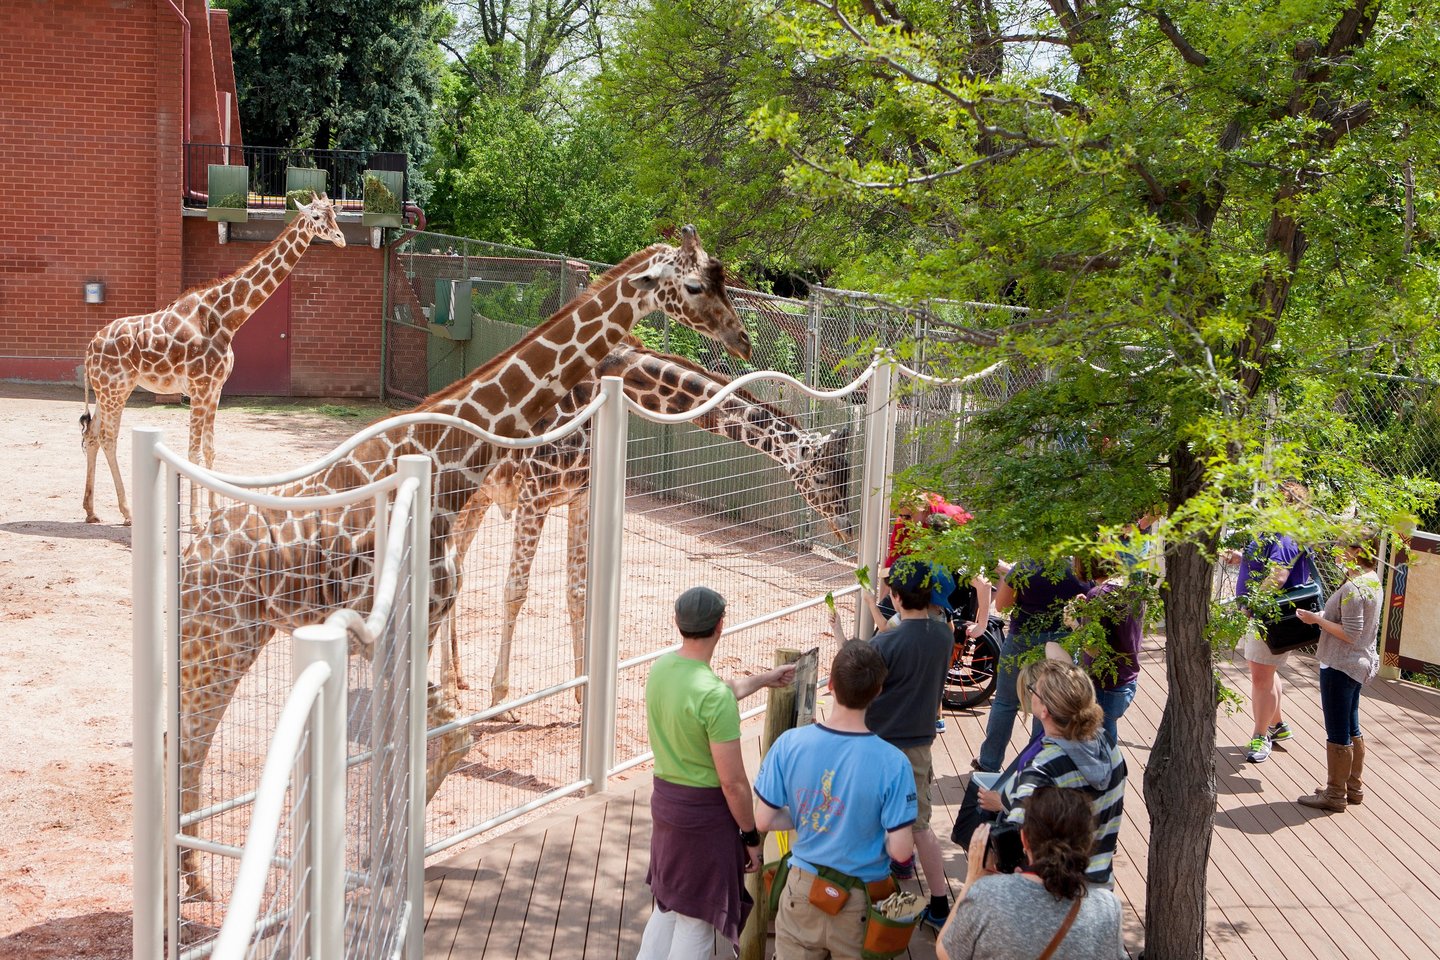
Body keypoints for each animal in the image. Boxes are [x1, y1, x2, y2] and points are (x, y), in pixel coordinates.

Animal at [81, 195, 345, 526]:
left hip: (107, 391)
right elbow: (192, 453)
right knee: (108, 438)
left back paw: (91, 510)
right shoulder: (199, 387)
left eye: (336, 215)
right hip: (114, 390)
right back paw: (127, 512)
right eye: (318, 217)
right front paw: (195, 520)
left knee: (92, 435)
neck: (225, 319)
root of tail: (89, 347)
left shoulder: (215, 390)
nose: (341, 239)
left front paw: (215, 512)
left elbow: (209, 450)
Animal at [173, 227, 750, 899]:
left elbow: (446, 735)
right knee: (187, 742)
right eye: (694, 285)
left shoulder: (415, 620)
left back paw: (197, 877)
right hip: (222, 639)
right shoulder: (398, 622)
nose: (741, 338)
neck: (444, 457)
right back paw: (196, 883)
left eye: (723, 277)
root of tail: (191, 557)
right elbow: (425, 739)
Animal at [439, 338, 855, 705]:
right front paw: (499, 695)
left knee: (457, 568)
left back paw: (457, 678)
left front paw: (581, 694)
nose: (847, 530)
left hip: (480, 499)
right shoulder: (534, 494)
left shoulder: (580, 497)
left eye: (845, 477)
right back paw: (448, 687)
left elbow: (578, 592)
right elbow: (516, 590)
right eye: (822, 478)